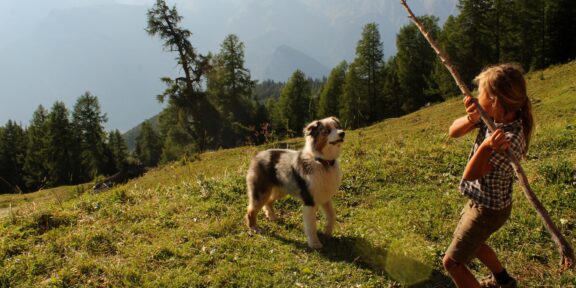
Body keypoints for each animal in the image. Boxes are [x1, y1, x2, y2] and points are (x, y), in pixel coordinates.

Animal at [245, 116, 344, 249]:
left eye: (338, 127)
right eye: (327, 131)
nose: (342, 133)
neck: (322, 162)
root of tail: (257, 155)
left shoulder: (325, 196)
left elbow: (332, 216)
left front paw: (328, 233)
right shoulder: (310, 201)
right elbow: (311, 226)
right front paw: (315, 244)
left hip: (280, 189)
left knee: (269, 201)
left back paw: (272, 217)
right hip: (260, 192)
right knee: (251, 210)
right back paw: (255, 228)